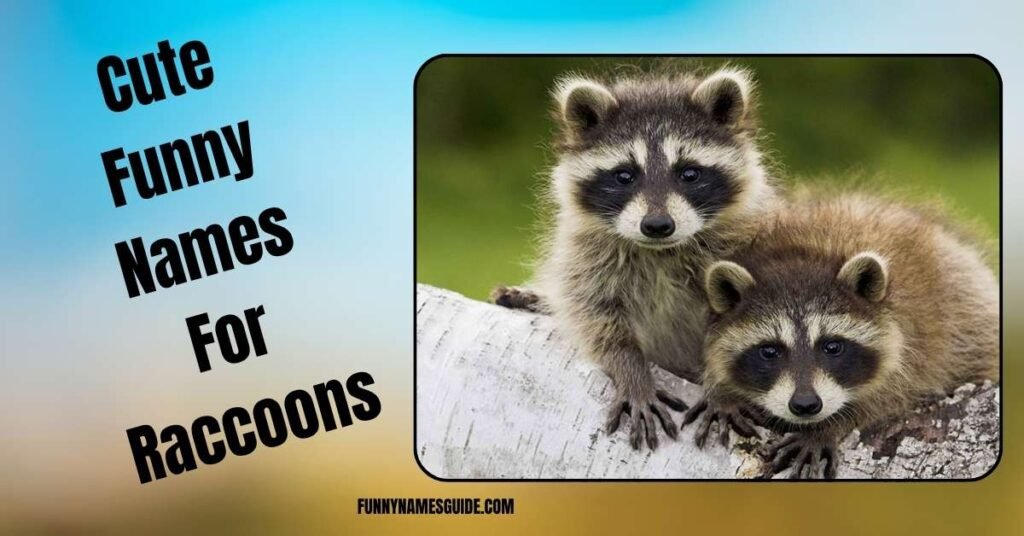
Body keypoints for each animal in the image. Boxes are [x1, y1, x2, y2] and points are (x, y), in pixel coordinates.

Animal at [492, 66, 780, 449]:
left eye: (689, 173)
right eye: (624, 175)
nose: (657, 225)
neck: (660, 251)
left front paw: (722, 389)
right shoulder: (586, 256)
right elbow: (595, 316)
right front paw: (631, 369)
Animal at [696, 190, 998, 478]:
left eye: (832, 347)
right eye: (769, 351)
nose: (805, 405)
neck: (804, 252)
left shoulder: (916, 341)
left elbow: (890, 395)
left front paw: (828, 426)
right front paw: (721, 391)